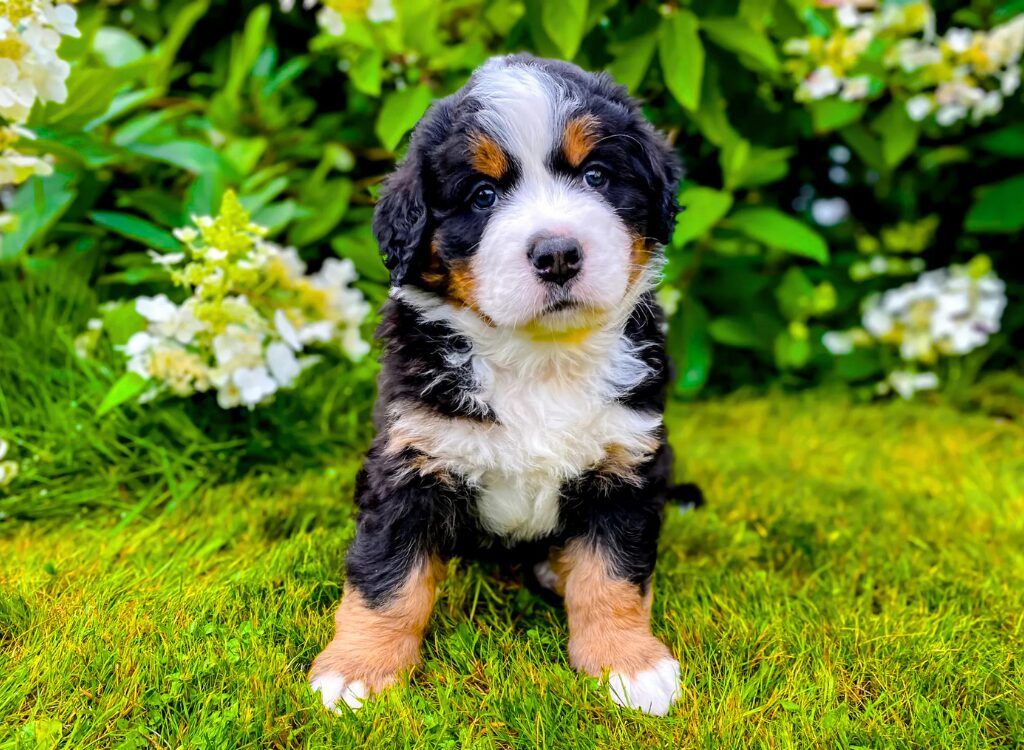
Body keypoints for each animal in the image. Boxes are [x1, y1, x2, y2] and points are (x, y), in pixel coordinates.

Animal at [307, 52, 684, 713]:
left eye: (596, 177)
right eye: (483, 195)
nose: (557, 253)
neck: (539, 358)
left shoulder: (626, 462)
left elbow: (613, 573)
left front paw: (628, 664)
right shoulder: (409, 459)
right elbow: (387, 577)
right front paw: (358, 670)